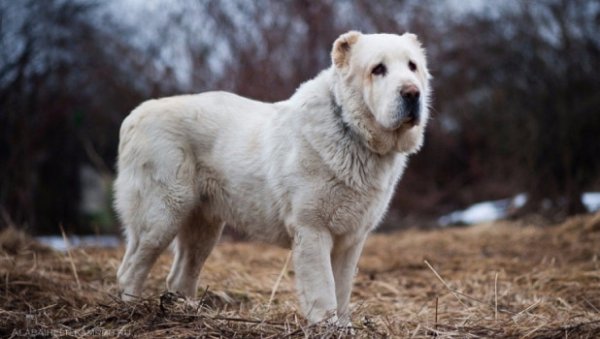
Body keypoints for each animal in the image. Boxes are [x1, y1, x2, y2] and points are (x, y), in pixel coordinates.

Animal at [113, 31, 432, 326]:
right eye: (378, 69)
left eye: (412, 66)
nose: (412, 93)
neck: (350, 130)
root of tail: (135, 115)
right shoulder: (312, 230)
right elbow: (324, 290)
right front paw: (327, 327)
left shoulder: (352, 238)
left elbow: (342, 291)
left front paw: (344, 327)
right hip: (161, 215)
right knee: (131, 270)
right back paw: (130, 313)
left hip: (203, 226)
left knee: (180, 276)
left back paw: (188, 314)